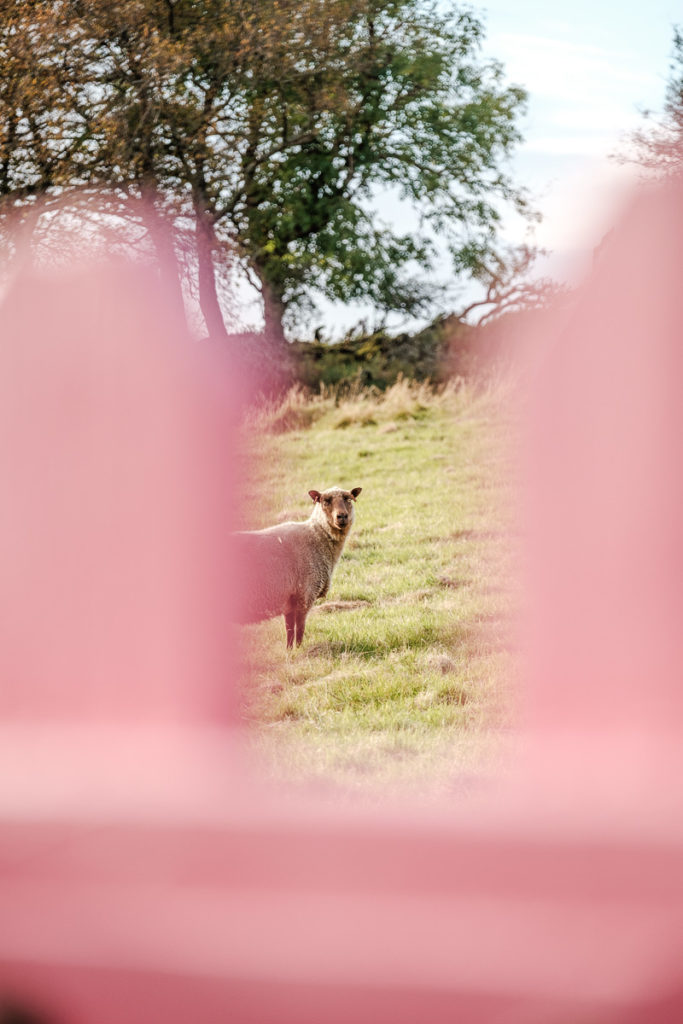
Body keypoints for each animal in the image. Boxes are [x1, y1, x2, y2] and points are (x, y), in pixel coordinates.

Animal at [235, 485, 360, 647]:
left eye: (348, 499)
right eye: (325, 501)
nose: (342, 516)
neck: (317, 537)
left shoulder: (290, 601)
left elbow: (289, 631)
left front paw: (289, 650)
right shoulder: (305, 595)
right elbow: (300, 629)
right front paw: (299, 649)